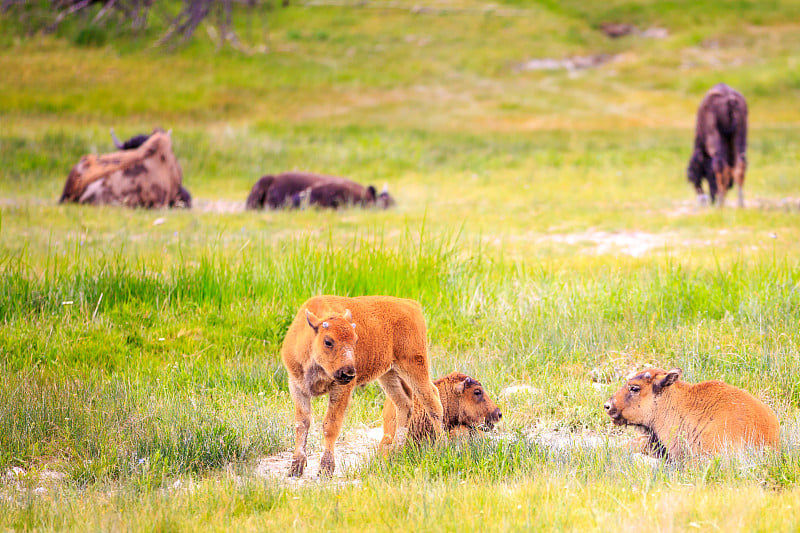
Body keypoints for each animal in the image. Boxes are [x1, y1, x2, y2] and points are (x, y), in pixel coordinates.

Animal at [280, 294, 444, 476]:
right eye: (328, 341)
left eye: (355, 340)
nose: (349, 373)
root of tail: (411, 305)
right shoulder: (297, 387)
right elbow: (302, 424)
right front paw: (296, 467)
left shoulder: (341, 389)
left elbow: (330, 425)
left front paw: (325, 469)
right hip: (389, 374)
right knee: (404, 404)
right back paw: (395, 453)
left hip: (414, 365)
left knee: (432, 400)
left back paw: (442, 446)